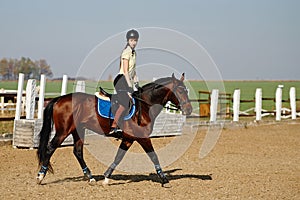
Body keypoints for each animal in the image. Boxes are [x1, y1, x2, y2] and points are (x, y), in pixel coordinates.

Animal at [36, 72, 192, 187]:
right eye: (180, 90)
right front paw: (164, 179)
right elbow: (154, 156)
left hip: (78, 130)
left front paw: (106, 177)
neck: (144, 106)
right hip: (63, 131)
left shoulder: (129, 139)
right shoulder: (142, 137)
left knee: (78, 151)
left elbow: (118, 157)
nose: (189, 109)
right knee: (50, 148)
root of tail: (59, 99)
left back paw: (90, 177)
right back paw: (40, 176)